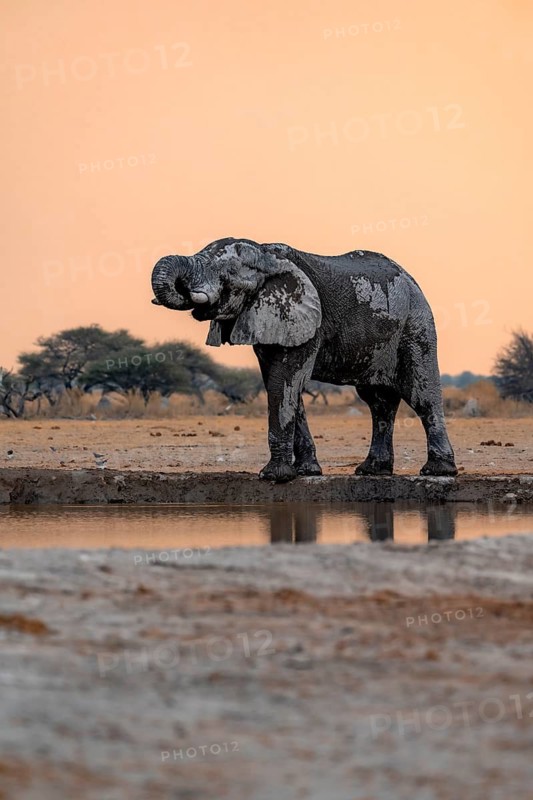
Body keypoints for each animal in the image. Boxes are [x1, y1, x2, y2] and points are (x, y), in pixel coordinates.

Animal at [151, 238, 457, 482]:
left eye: (226, 272)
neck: (266, 255)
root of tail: (411, 279)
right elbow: (282, 386)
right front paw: (306, 472)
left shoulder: (307, 322)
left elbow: (284, 382)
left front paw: (273, 476)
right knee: (378, 402)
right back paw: (371, 471)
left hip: (416, 325)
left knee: (421, 395)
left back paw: (437, 472)